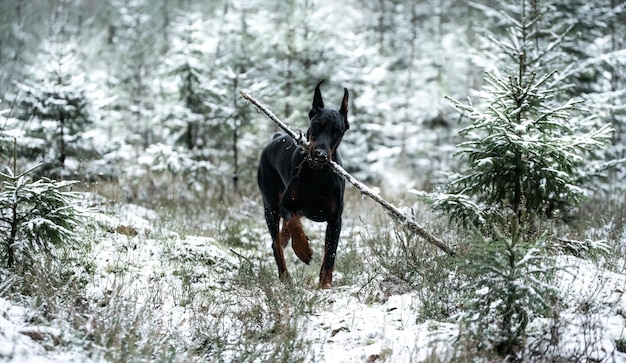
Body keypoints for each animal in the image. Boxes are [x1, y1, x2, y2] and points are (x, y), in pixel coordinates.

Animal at [256, 80, 348, 290]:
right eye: (316, 125)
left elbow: (330, 254)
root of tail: (275, 138)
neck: (317, 175)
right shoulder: (286, 204)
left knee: (280, 238)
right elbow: (295, 226)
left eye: (337, 131)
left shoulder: (335, 220)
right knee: (276, 242)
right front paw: (303, 251)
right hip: (270, 205)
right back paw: (285, 276)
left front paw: (325, 285)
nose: (320, 155)